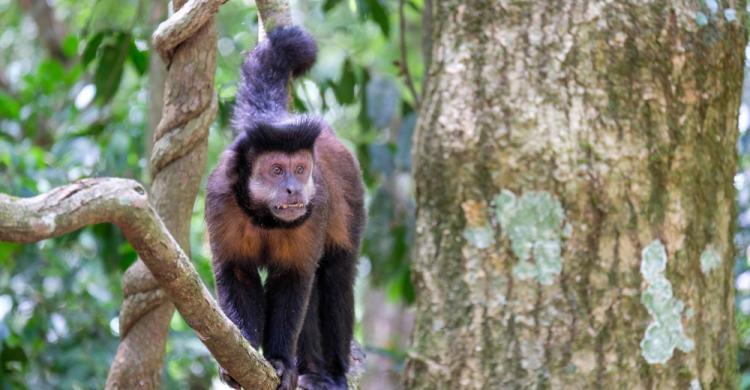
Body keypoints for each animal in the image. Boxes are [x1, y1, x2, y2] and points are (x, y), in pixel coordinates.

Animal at [207, 25, 366, 390]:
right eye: (277, 170)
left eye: (301, 169)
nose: (293, 188)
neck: (265, 217)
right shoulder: (220, 197)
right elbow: (237, 272)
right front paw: (241, 354)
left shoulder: (313, 209)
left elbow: (295, 280)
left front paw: (280, 360)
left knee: (334, 277)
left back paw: (329, 372)